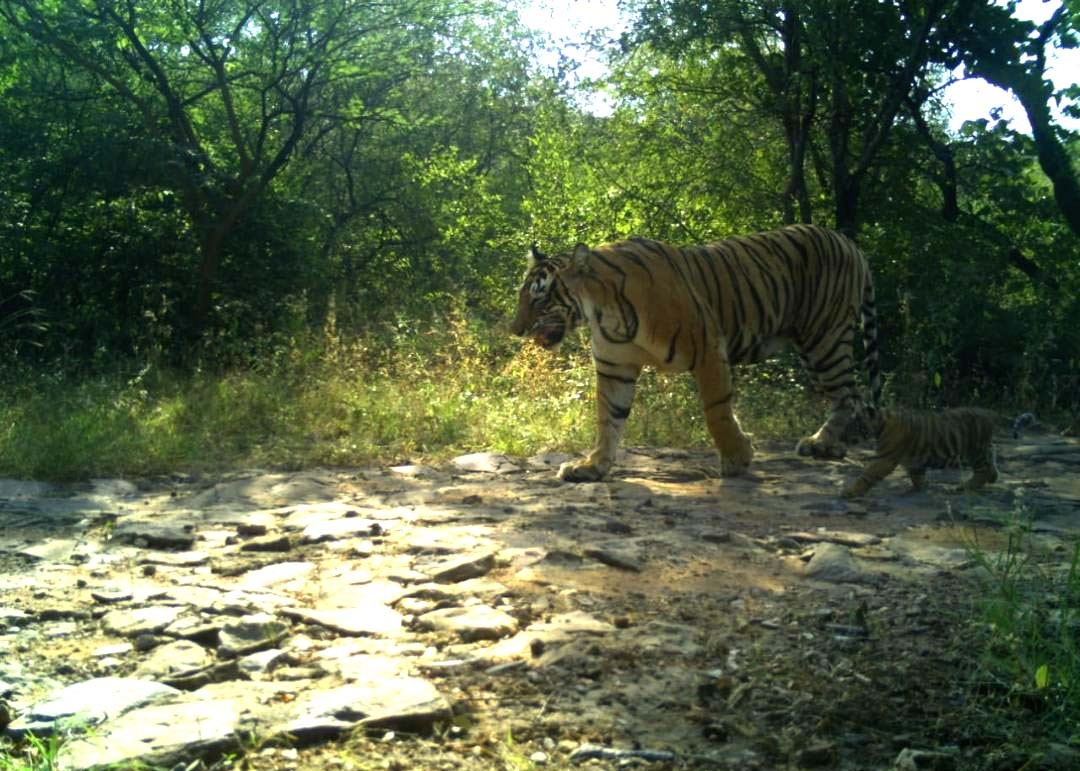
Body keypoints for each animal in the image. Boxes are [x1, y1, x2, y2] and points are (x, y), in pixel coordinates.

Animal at [509, 220, 881, 479]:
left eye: (540, 298)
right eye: (522, 296)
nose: (515, 330)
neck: (602, 311)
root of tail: (850, 242)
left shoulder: (709, 348)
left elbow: (716, 412)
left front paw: (737, 458)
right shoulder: (615, 366)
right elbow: (608, 418)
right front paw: (592, 466)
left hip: (824, 338)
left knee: (849, 395)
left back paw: (823, 444)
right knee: (851, 394)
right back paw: (831, 446)